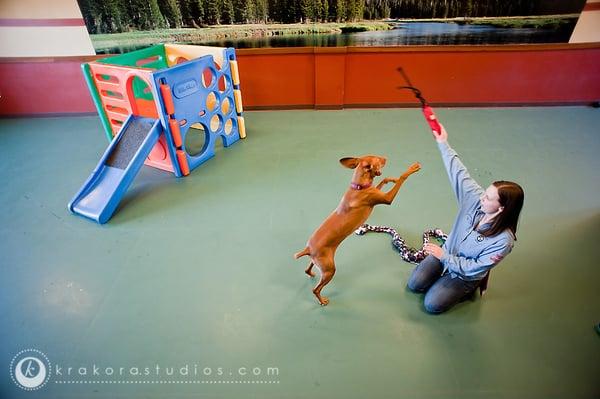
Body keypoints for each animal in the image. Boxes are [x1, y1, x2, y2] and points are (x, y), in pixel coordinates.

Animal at [292, 156, 420, 306]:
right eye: (378, 159)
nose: (385, 158)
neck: (358, 187)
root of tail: (308, 249)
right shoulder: (387, 199)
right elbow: (402, 177)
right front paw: (412, 169)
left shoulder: (377, 191)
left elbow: (383, 180)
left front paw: (391, 179)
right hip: (330, 271)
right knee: (315, 289)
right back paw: (322, 301)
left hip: (320, 264)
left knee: (307, 269)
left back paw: (311, 274)